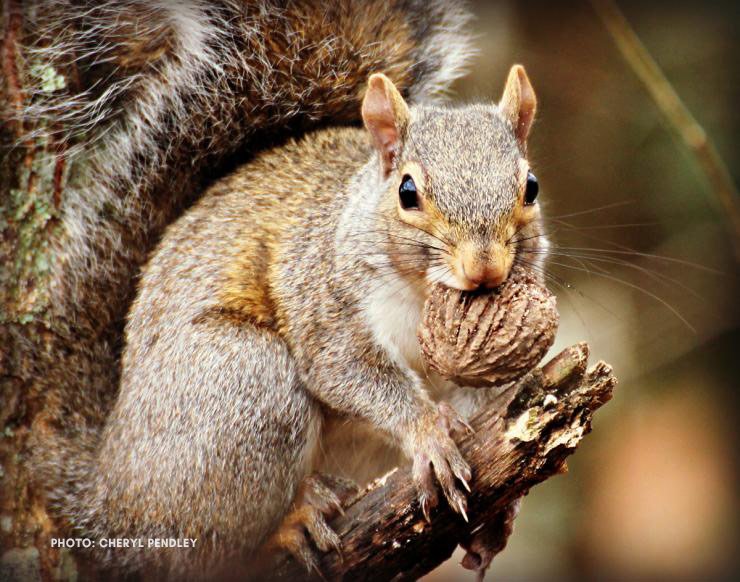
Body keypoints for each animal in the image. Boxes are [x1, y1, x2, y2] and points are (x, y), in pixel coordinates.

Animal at [13, 0, 546, 580]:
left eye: (530, 186)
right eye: (408, 192)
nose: (484, 269)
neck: (424, 294)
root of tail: (104, 489)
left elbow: (492, 406)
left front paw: (500, 515)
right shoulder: (321, 294)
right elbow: (350, 371)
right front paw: (428, 432)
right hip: (244, 386)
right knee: (204, 550)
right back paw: (292, 523)